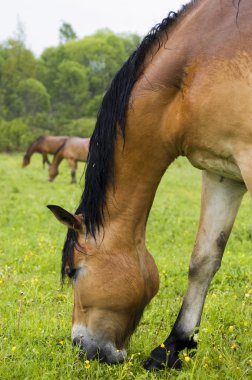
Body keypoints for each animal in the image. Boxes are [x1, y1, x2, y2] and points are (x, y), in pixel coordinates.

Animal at [47, 0, 252, 372]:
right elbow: (203, 261)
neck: (200, 58)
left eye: (73, 271)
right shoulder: (223, 173)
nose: (82, 348)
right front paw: (172, 347)